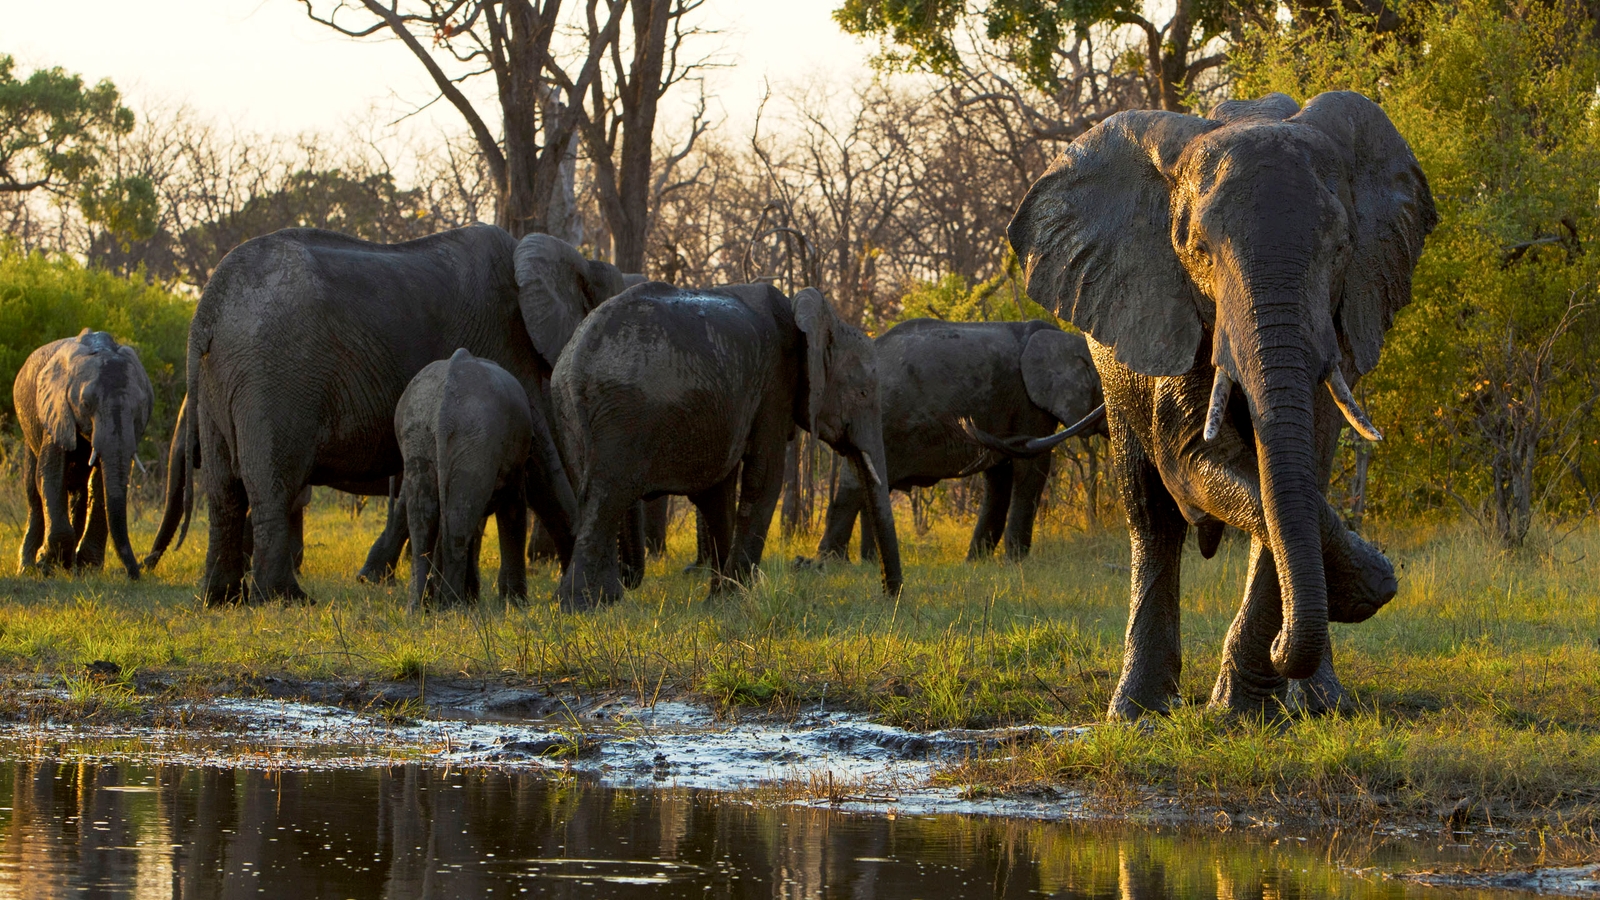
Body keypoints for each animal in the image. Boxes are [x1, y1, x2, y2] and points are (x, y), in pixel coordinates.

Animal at [14, 330, 153, 579]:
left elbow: (100, 485)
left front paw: (87, 568)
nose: (135, 574)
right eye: (86, 404)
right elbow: (50, 476)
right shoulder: (56, 409)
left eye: (138, 409)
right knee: (33, 491)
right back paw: (28, 568)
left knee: (79, 493)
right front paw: (45, 565)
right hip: (29, 427)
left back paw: (70, 567)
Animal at [397, 349, 577, 609]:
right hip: (476, 439)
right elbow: (513, 510)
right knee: (458, 521)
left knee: (425, 518)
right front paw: (515, 604)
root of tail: (443, 413)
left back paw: (421, 608)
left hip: (421, 435)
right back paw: (451, 605)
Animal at [551, 283, 902, 610]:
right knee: (607, 495)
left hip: (571, 416)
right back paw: (582, 606)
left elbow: (719, 491)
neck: (813, 317)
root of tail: (577, 359)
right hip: (624, 413)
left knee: (591, 493)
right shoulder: (775, 385)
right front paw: (738, 596)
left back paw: (600, 601)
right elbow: (764, 478)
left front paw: (721, 600)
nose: (889, 596)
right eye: (862, 394)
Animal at [816, 319, 1106, 564]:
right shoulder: (1028, 403)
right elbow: (1031, 469)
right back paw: (832, 564)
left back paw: (869, 562)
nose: (970, 427)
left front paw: (976, 564)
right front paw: (1015, 564)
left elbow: (1000, 478)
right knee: (856, 485)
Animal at [1007, 91, 1436, 719]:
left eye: (1341, 250)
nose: (1286, 647)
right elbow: (1193, 461)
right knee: (1150, 515)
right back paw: (1137, 713)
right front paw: (1366, 587)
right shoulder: (1169, 307)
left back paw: (1322, 704)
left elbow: (1297, 471)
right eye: (1199, 251)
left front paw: (1247, 708)